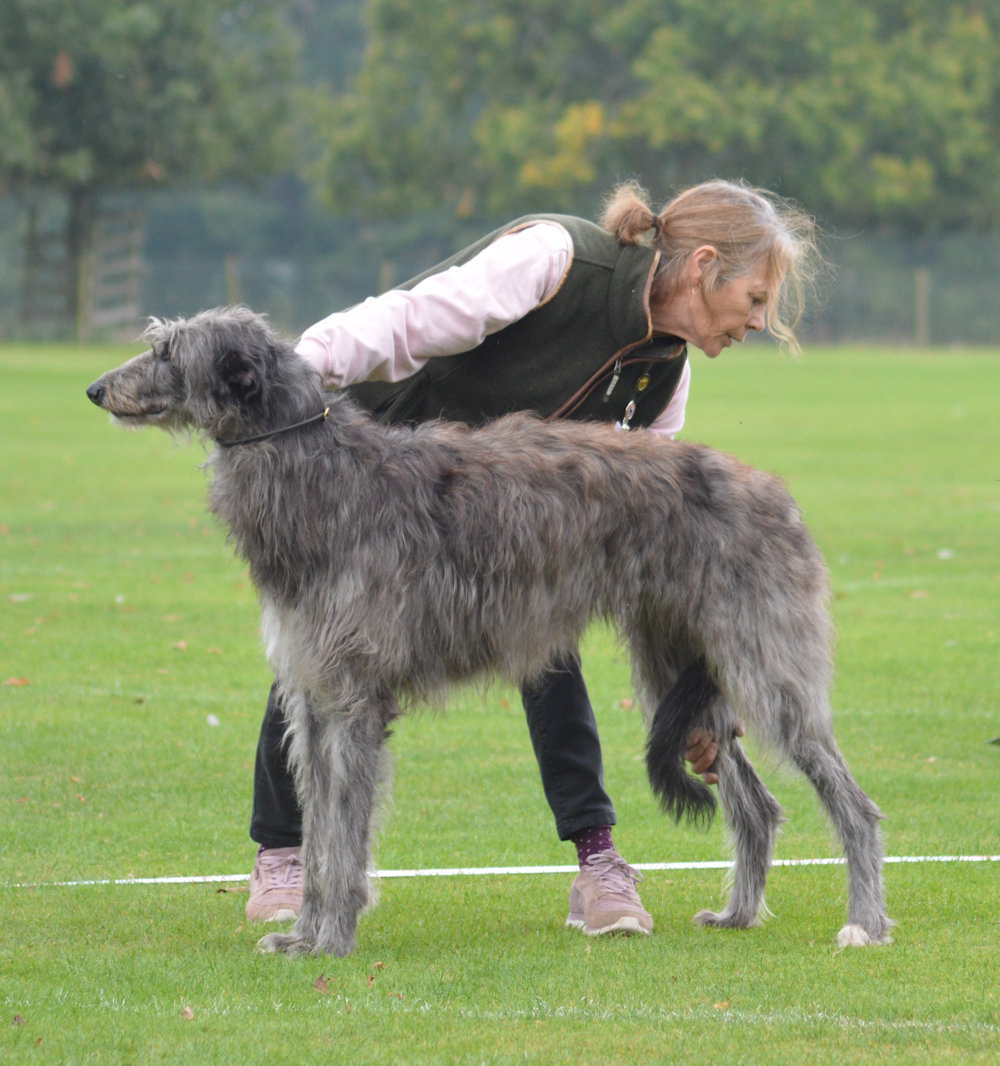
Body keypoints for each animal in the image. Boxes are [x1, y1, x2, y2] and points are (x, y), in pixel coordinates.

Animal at [89, 304, 891, 955]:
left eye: (167, 351)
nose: (95, 390)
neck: (320, 472)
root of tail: (773, 491)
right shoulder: (315, 701)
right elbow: (319, 836)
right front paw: (303, 931)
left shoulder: (354, 700)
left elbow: (344, 837)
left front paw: (332, 938)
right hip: (677, 666)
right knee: (757, 806)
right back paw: (738, 915)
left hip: (766, 665)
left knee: (854, 806)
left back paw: (864, 923)